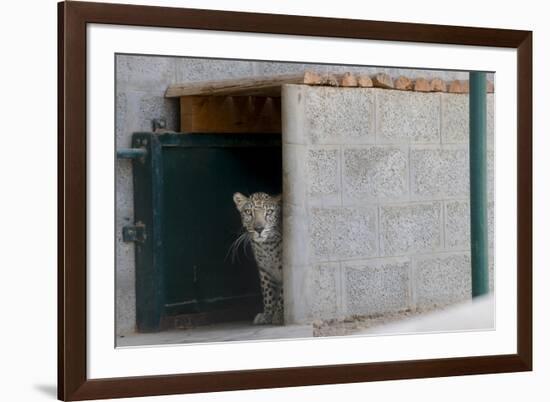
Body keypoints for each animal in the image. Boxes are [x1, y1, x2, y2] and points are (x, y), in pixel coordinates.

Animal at [233, 190, 284, 326]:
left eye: (269, 212)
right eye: (248, 212)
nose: (259, 229)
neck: (267, 246)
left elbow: (283, 293)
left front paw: (279, 315)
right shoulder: (264, 269)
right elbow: (268, 292)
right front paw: (267, 315)